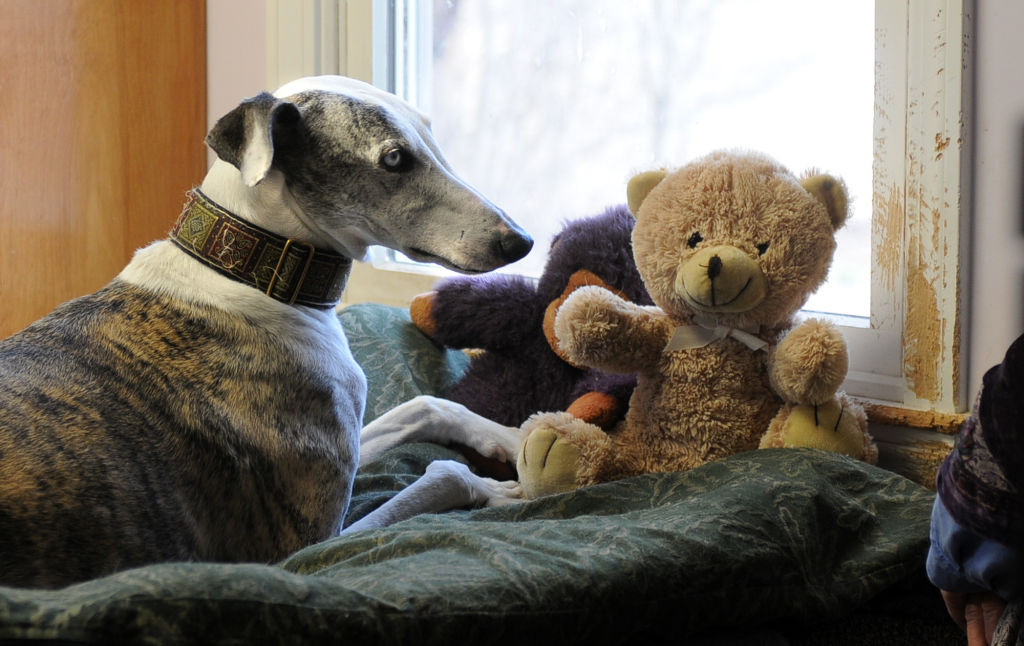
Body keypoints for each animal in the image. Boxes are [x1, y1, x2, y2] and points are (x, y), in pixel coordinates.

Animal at [0, 77, 532, 589]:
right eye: (395, 158)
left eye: (430, 137)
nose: (521, 241)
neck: (250, 274)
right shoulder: (300, 548)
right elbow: (444, 472)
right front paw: (497, 488)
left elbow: (427, 404)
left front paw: (513, 436)